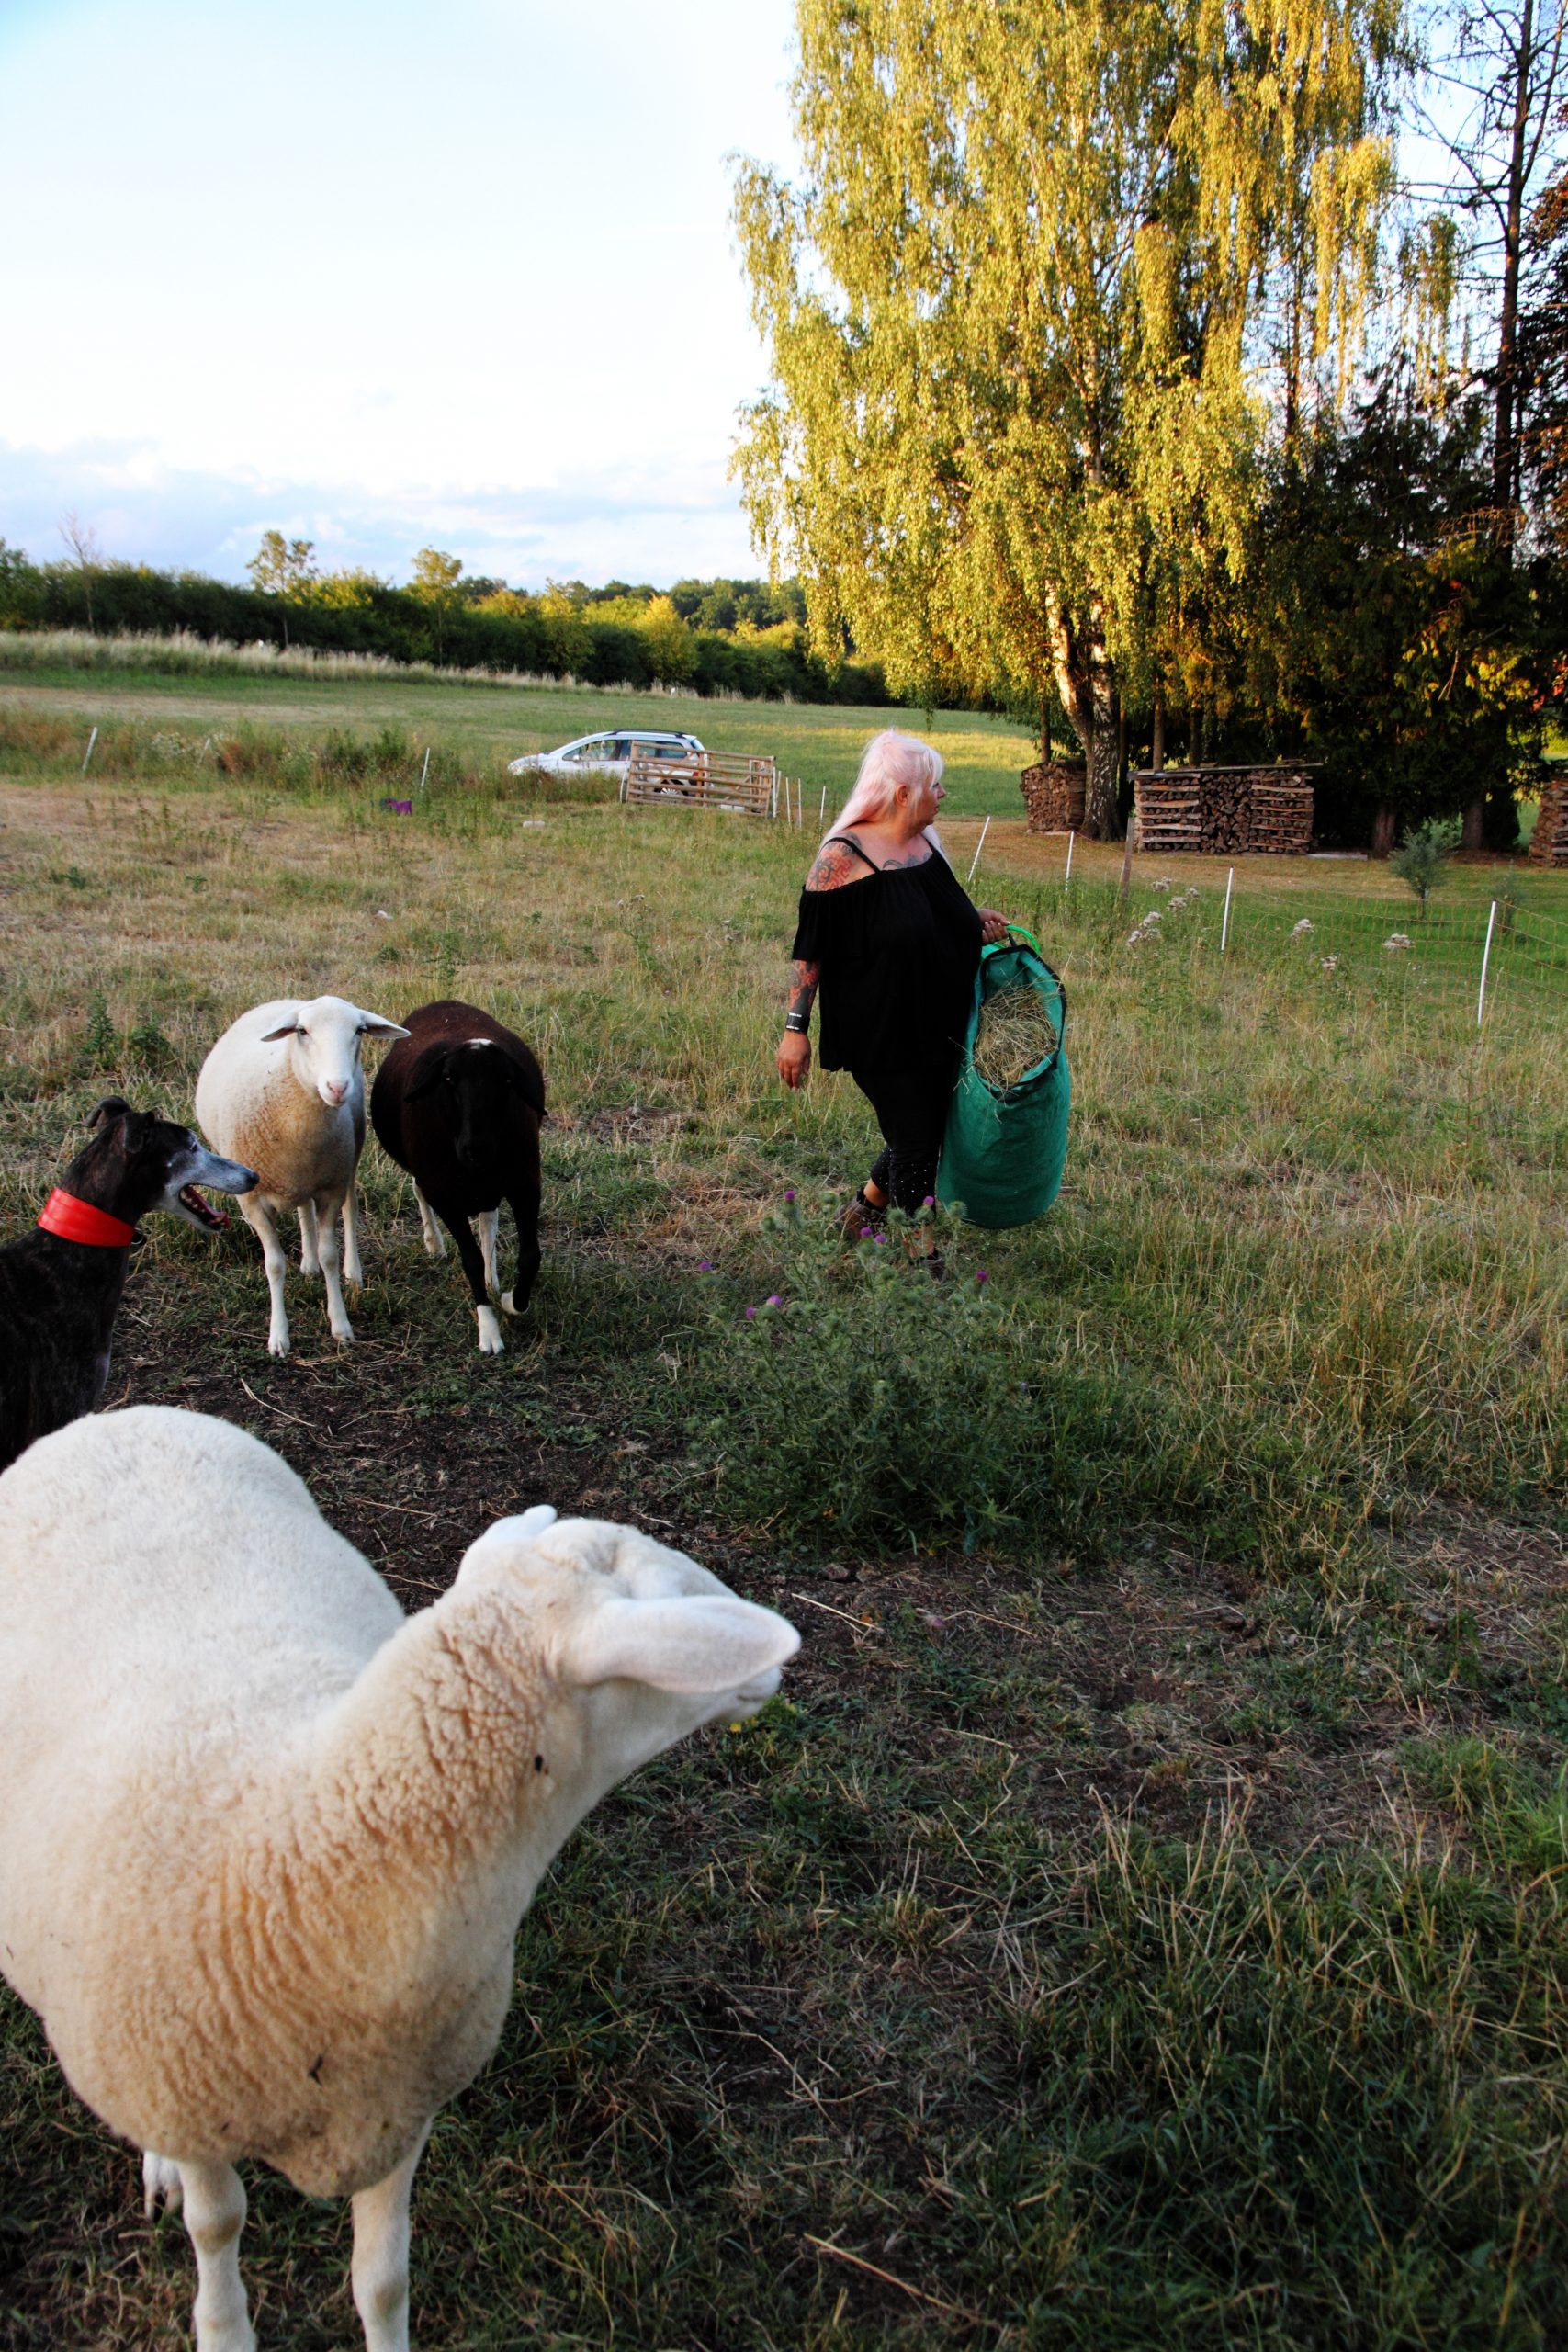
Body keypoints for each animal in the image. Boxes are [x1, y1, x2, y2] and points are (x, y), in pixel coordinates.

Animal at [0, 1403, 800, 2352]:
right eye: (676, 1604)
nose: (778, 1663)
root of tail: (121, 1415)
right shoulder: (190, 2096)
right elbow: (217, 2225)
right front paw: (222, 2326)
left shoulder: (401, 2105)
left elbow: (382, 2279)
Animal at [195, 996, 408, 1358]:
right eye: (302, 1031)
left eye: (359, 1030)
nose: (338, 1087)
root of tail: (288, 1000)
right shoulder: (252, 1201)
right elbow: (274, 1265)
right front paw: (279, 1336)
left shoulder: (331, 1188)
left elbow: (330, 1256)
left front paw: (340, 1324)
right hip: (302, 1180)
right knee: (303, 1210)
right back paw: (307, 1264)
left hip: (348, 1159)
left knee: (349, 1208)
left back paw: (353, 1272)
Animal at [369, 999, 545, 1355]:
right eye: (449, 1078)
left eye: (507, 1081)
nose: (476, 1148)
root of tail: (444, 1003)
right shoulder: (444, 1195)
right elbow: (471, 1260)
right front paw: (488, 1330)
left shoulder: (525, 1185)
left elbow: (530, 1256)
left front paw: (511, 1301)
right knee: (419, 1190)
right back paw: (434, 1244)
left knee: (488, 1218)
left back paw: (493, 1278)